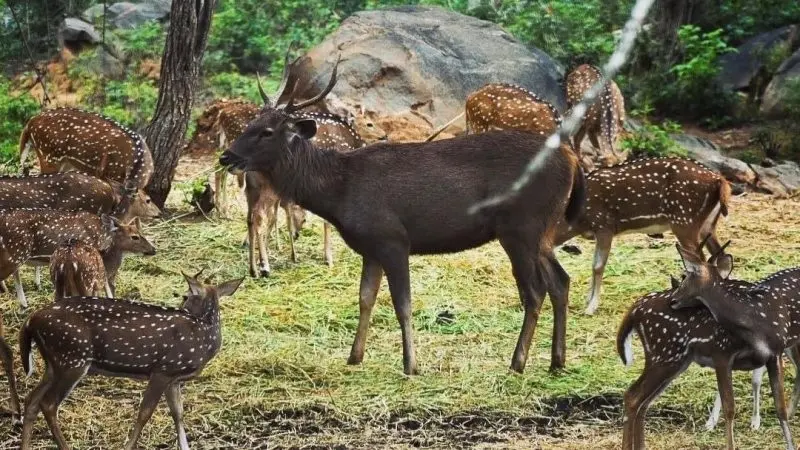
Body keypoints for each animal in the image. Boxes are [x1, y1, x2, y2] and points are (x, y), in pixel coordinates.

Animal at [19, 270, 244, 450]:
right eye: (185, 295)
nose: (181, 305)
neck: (203, 338)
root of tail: (30, 320)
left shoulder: (174, 378)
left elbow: (178, 414)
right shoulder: (163, 369)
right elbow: (144, 413)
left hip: (54, 363)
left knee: (31, 399)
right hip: (72, 358)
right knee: (48, 404)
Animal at [556, 159, 732, 316]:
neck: (579, 221)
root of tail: (719, 180)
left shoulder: (604, 226)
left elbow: (598, 266)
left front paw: (591, 307)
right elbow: (593, 265)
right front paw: (588, 300)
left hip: (684, 221)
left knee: (701, 262)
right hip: (707, 225)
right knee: (721, 256)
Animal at [620, 248, 796, 450]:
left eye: (687, 276)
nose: (673, 299)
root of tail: (634, 309)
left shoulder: (774, 354)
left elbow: (780, 408)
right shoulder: (722, 352)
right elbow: (730, 408)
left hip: (674, 362)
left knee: (643, 402)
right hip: (664, 356)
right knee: (633, 396)